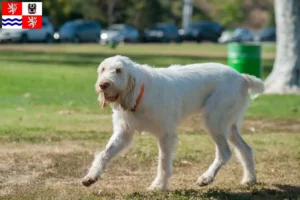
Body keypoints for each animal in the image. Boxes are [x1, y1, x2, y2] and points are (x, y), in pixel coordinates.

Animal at [82, 55, 264, 190]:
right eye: (102, 69)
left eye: (119, 70)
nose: (103, 85)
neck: (139, 94)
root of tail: (241, 77)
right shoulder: (123, 134)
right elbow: (105, 154)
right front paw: (91, 176)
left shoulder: (165, 135)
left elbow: (163, 162)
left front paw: (159, 186)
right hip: (228, 126)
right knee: (246, 149)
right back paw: (249, 179)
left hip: (213, 121)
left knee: (225, 152)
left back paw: (206, 177)